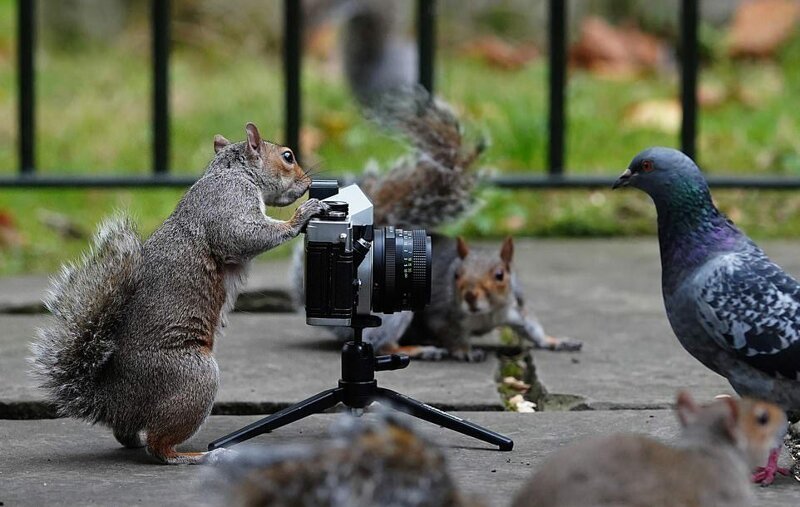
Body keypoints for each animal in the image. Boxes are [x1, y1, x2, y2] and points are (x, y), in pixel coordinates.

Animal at [29, 122, 326, 464]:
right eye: (287, 156)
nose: (309, 182)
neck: (232, 171)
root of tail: (112, 400)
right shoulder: (228, 203)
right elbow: (243, 235)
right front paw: (301, 215)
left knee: (126, 433)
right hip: (195, 378)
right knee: (159, 447)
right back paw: (195, 456)